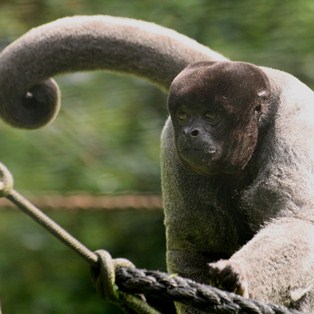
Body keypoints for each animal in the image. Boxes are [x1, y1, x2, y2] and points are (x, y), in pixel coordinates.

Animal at [0, 15, 314, 314]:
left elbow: (298, 221)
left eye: (210, 115)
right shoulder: (172, 148)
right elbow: (195, 245)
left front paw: (237, 274)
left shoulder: (294, 129)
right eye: (184, 115)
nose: (190, 132)